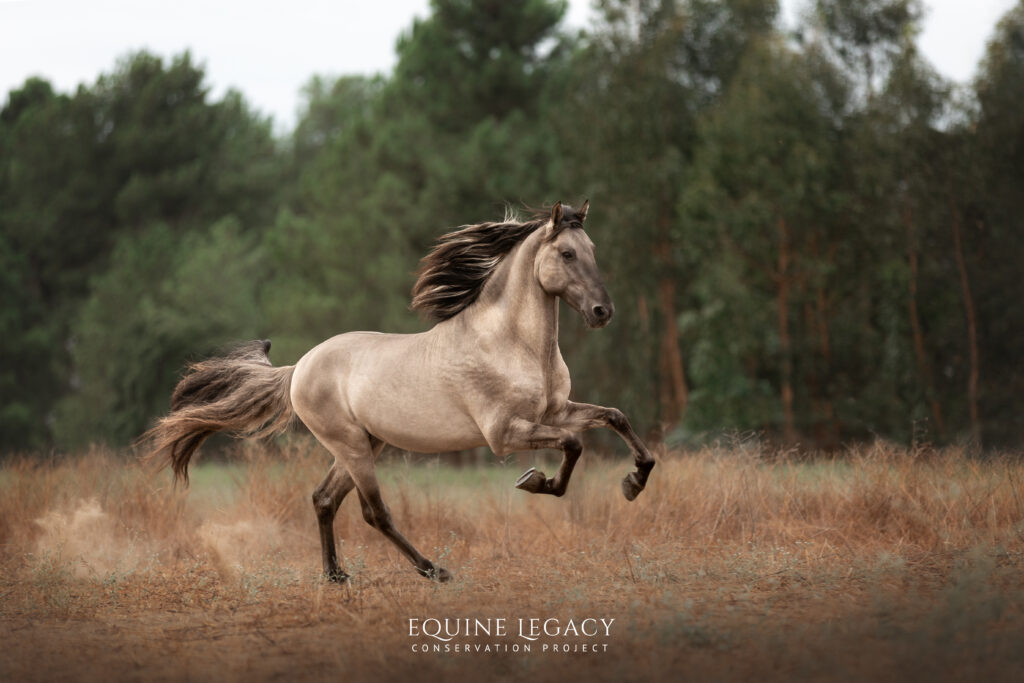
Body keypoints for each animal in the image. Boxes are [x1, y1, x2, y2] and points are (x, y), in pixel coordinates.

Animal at [144, 201, 656, 583]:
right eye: (567, 254)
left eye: (592, 249)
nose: (602, 312)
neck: (513, 344)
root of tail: (298, 368)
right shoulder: (504, 433)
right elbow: (573, 444)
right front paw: (536, 481)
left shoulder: (555, 410)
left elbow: (614, 417)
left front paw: (633, 482)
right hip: (353, 446)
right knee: (374, 512)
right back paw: (434, 570)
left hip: (365, 443)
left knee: (324, 499)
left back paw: (336, 577)